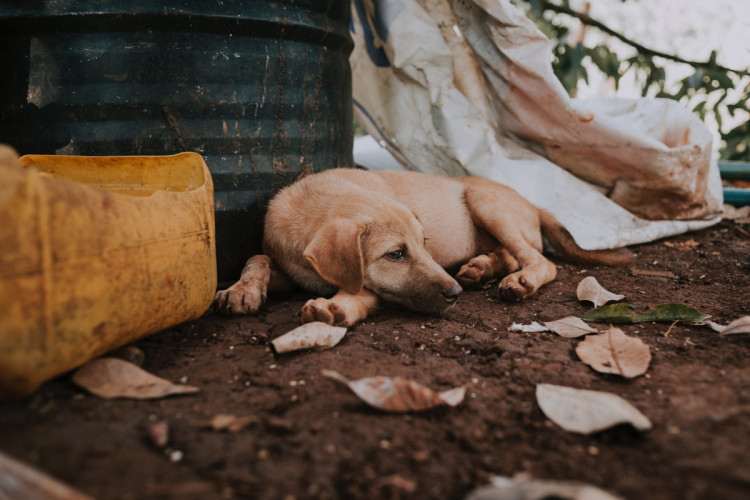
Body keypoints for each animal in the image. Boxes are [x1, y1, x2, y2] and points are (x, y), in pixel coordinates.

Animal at [214, 167, 632, 324]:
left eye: (424, 244)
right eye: (396, 254)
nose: (455, 294)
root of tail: (533, 204)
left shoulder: (368, 286)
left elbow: (358, 291)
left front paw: (335, 307)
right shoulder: (292, 268)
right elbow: (257, 257)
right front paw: (241, 289)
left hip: (485, 201)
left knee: (539, 260)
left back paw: (517, 281)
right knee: (513, 256)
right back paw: (482, 267)